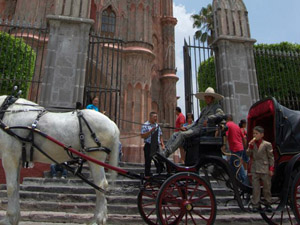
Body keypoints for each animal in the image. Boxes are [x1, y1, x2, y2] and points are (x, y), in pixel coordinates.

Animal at [0, 95, 120, 225]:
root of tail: (112, 123)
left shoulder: (9, 156)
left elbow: (11, 187)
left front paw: (9, 218)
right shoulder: (17, 158)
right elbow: (16, 186)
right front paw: (15, 217)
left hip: (96, 156)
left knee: (101, 185)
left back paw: (98, 219)